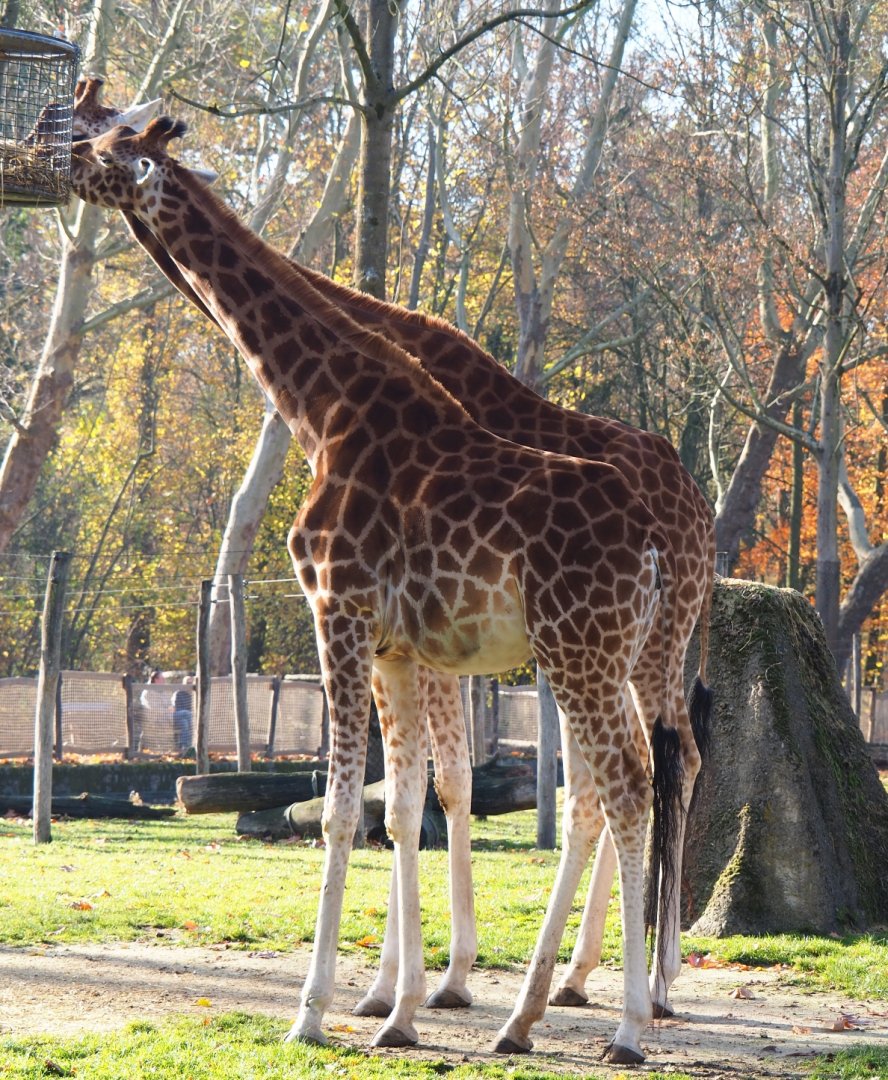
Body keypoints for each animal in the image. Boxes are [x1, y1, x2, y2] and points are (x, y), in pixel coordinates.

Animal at [70, 117, 692, 1064]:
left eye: (107, 146)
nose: (58, 158)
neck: (322, 407)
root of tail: (660, 542)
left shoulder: (340, 610)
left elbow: (338, 812)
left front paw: (313, 1012)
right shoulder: (399, 647)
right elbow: (399, 807)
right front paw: (396, 1010)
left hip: (582, 650)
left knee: (621, 783)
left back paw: (616, 1022)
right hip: (608, 653)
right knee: (637, 774)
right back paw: (556, 1009)